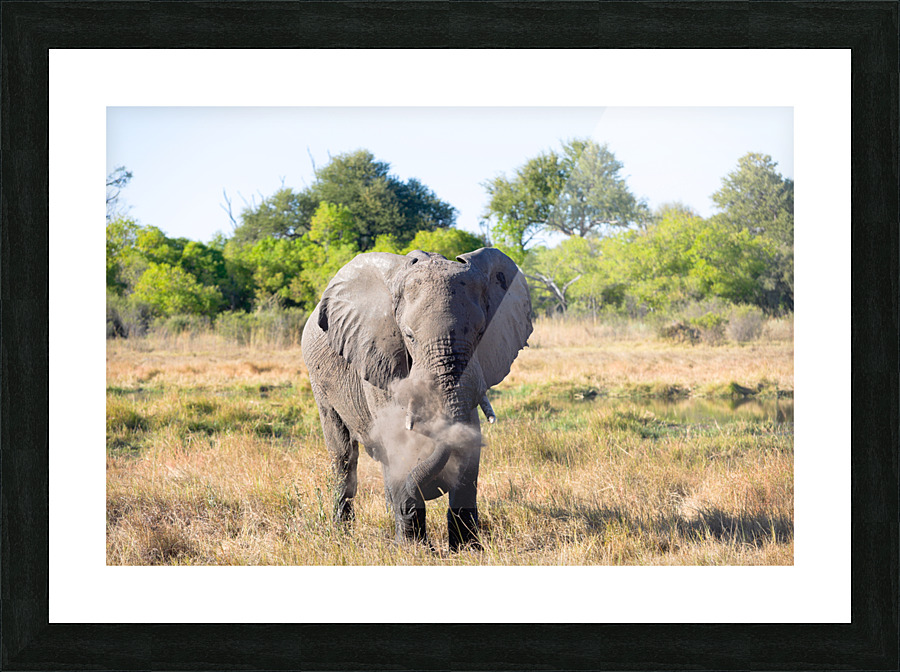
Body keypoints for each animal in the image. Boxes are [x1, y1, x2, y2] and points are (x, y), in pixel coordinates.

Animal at [301, 247, 533, 550]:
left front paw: (468, 550)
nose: (414, 501)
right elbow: (400, 438)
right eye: (409, 336)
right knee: (343, 455)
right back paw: (344, 533)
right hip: (319, 381)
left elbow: (468, 435)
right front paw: (412, 549)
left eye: (481, 333)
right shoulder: (380, 357)